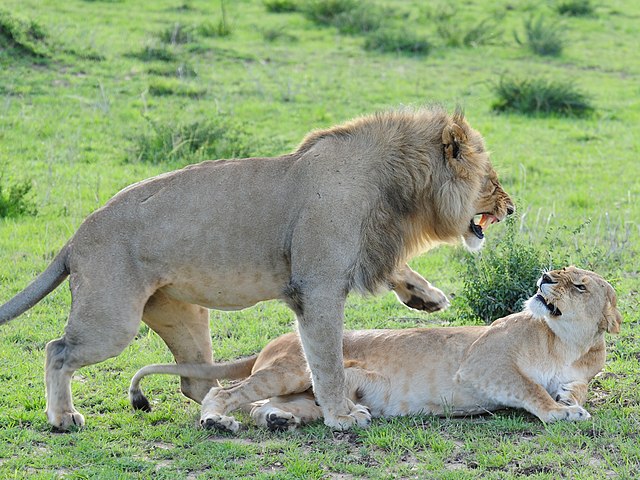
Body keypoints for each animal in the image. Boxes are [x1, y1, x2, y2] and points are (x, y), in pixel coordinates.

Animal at [0, 107, 513, 431]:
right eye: (492, 181)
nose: (511, 208)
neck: (402, 191)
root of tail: (75, 236)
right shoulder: (318, 284)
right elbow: (326, 360)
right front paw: (341, 416)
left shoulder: (363, 250)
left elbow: (396, 270)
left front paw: (427, 297)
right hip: (114, 320)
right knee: (57, 350)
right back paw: (63, 419)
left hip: (184, 315)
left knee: (196, 381)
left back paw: (225, 417)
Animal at [129, 267, 621, 432]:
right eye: (558, 271)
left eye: (578, 284)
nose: (543, 277)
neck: (566, 343)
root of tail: (276, 339)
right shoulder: (484, 362)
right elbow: (530, 388)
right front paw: (560, 413)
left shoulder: (578, 372)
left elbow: (572, 388)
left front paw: (569, 402)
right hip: (294, 368)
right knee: (225, 393)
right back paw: (217, 422)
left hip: (311, 393)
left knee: (266, 405)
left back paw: (280, 420)